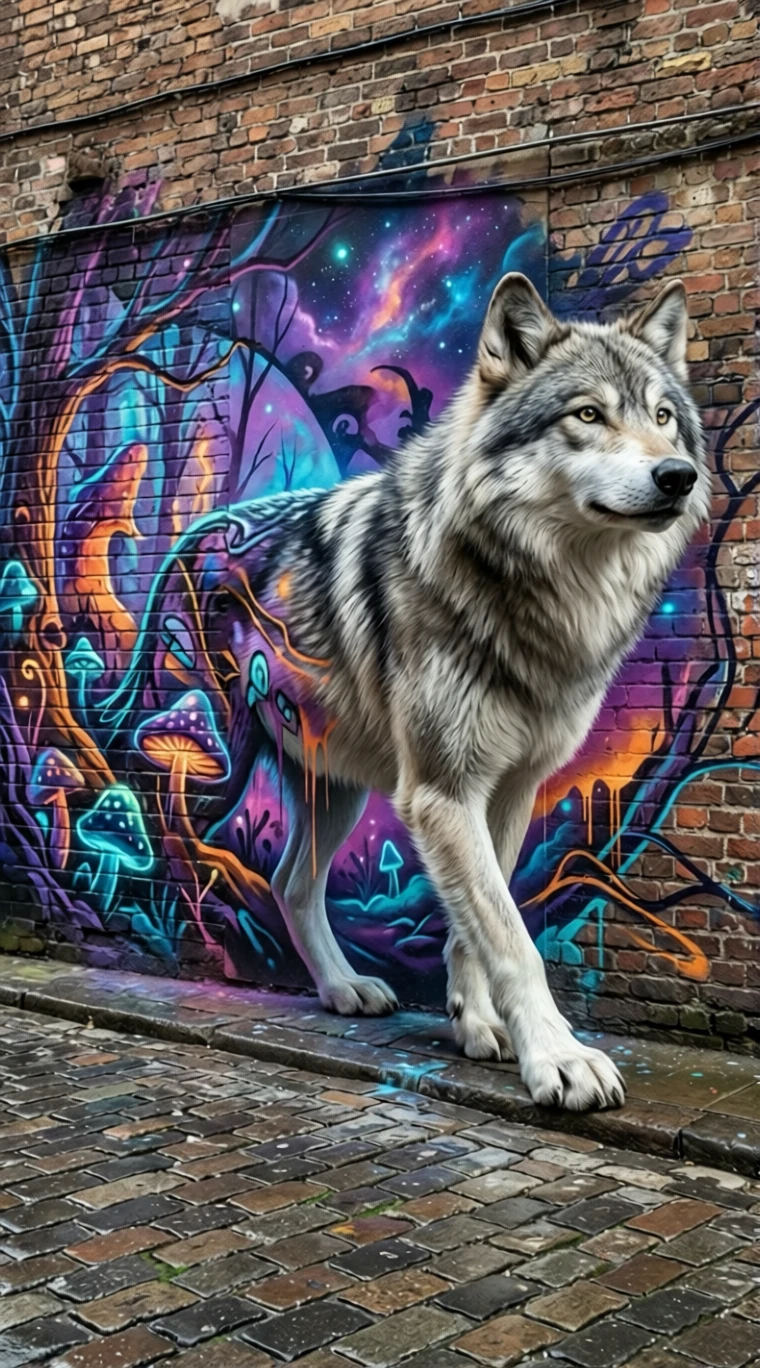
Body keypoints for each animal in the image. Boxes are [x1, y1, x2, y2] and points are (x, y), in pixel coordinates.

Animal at [113, 273, 710, 1111]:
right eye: (588, 414)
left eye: (663, 418)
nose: (677, 476)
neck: (544, 591)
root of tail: (187, 542)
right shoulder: (442, 790)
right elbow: (513, 938)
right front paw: (559, 1059)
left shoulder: (503, 791)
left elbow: (473, 924)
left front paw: (476, 1025)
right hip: (209, 761)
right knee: (169, 848)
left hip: (334, 790)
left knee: (291, 882)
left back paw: (343, 989)